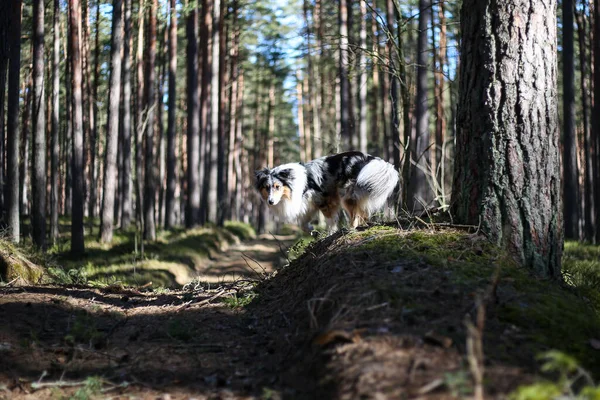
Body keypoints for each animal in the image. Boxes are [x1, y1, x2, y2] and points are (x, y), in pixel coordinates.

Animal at [253, 152, 398, 233]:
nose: (270, 202)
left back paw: (351, 228)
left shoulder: (324, 200)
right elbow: (303, 224)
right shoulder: (307, 205)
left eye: (277, 187)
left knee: (355, 214)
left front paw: (330, 233)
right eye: (267, 187)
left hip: (346, 195)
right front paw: (311, 230)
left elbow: (331, 220)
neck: (293, 183)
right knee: (363, 212)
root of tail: (369, 158)